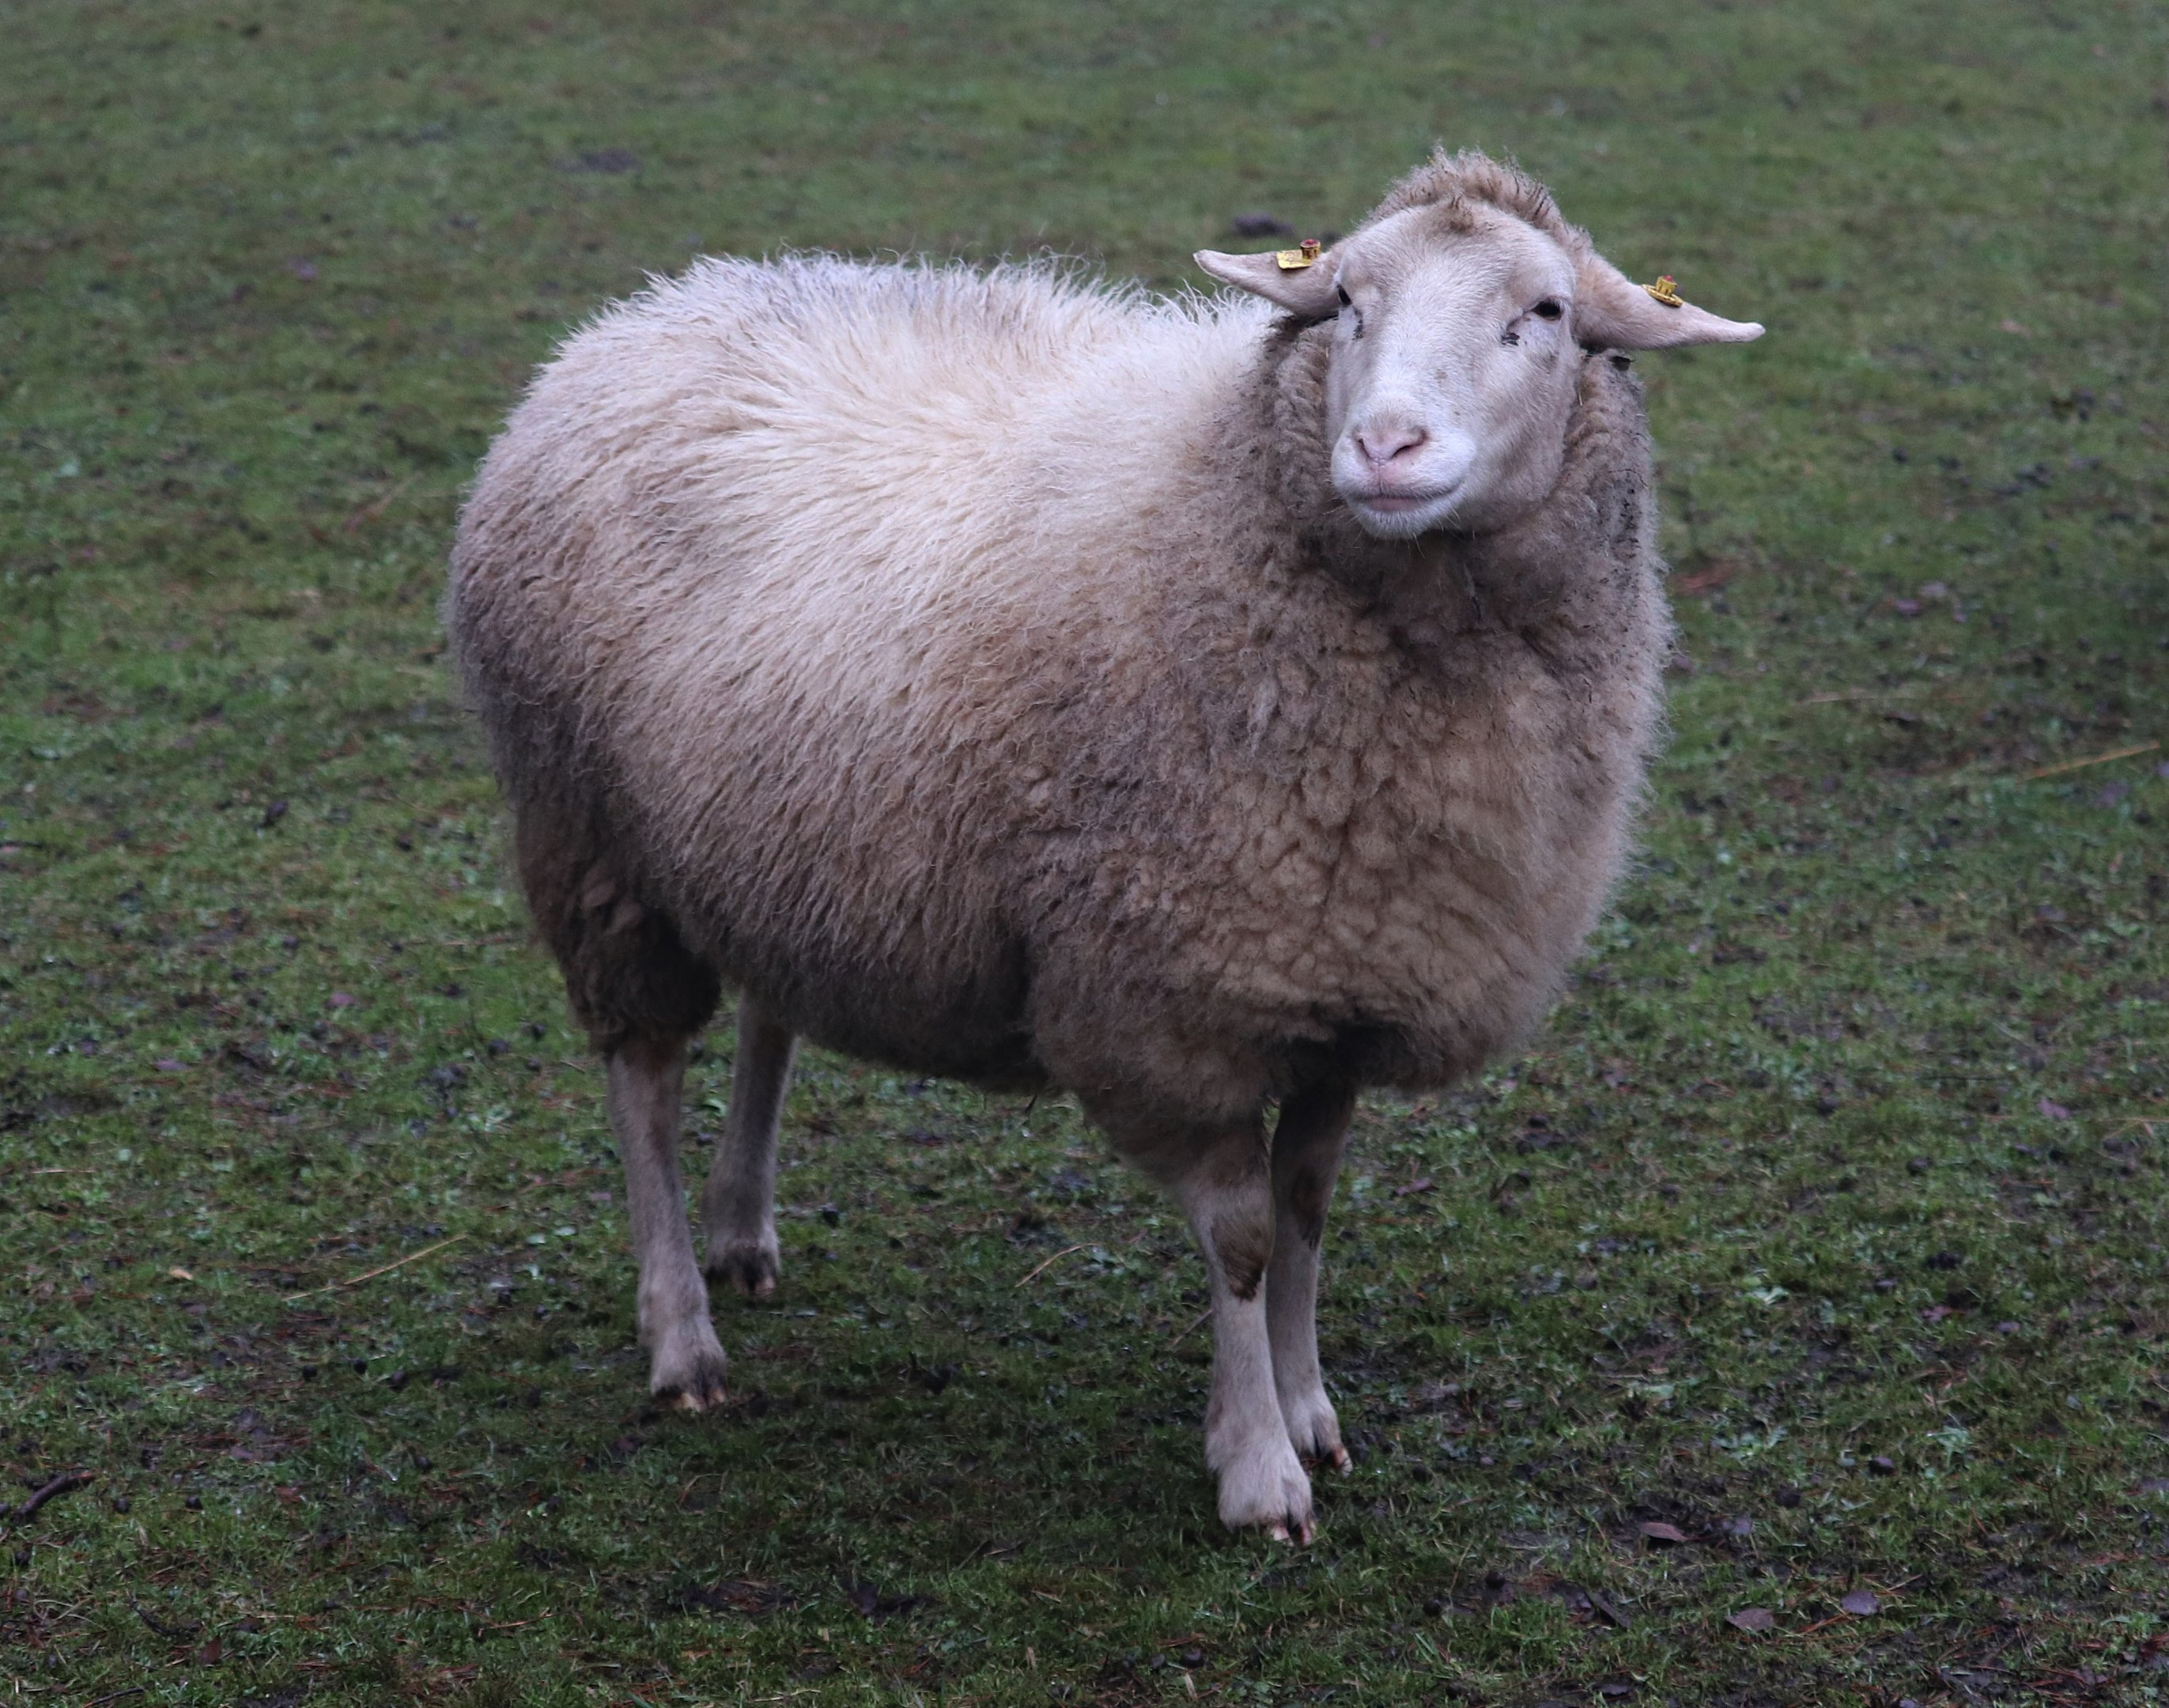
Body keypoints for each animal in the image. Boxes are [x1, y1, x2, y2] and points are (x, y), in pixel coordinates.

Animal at [447, 149, 1761, 1543]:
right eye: (1345, 301)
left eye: (1546, 314)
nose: (1382, 446)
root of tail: (649, 308)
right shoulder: (1179, 1003)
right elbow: (1242, 1244)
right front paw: (1256, 1469)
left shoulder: (1341, 983)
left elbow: (1306, 1216)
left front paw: (1307, 1407)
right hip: (593, 842)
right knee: (640, 1079)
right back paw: (682, 1332)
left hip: (774, 837)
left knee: (770, 1013)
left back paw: (742, 1230)